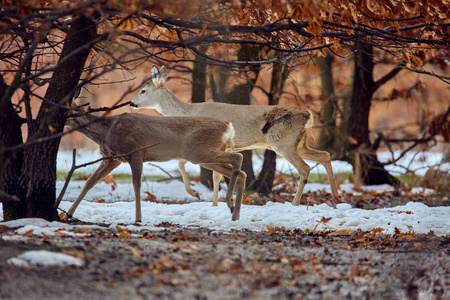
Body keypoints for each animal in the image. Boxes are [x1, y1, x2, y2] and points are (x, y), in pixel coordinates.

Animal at [63, 110, 246, 223]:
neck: (106, 131)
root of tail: (228, 126)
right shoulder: (113, 159)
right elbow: (89, 182)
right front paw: (68, 214)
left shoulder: (135, 152)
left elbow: (136, 185)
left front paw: (138, 218)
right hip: (204, 156)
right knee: (241, 172)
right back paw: (235, 215)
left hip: (199, 153)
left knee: (238, 157)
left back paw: (230, 203)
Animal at [131, 64, 344, 207]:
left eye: (143, 90)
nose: (132, 103)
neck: (188, 112)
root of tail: (309, 115)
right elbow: (215, 174)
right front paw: (216, 203)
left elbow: (189, 165)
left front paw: (197, 194)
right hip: (298, 143)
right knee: (325, 155)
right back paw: (337, 197)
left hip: (283, 142)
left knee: (305, 168)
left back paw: (295, 203)